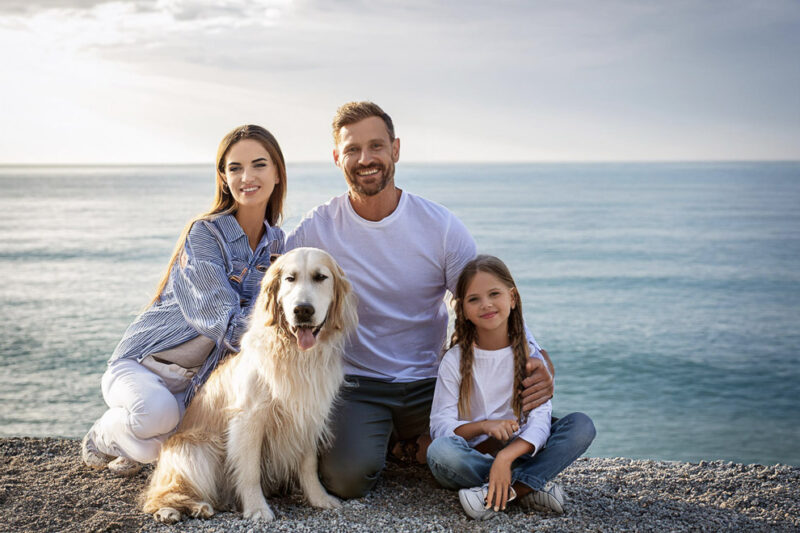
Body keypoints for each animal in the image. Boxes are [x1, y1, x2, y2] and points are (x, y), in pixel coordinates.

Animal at [142, 247, 358, 520]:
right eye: (290, 279)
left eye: (321, 277)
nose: (303, 310)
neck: (295, 355)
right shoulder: (250, 417)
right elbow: (249, 470)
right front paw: (257, 508)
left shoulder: (308, 414)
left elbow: (309, 464)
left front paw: (319, 498)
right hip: (197, 449)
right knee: (160, 494)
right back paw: (177, 509)